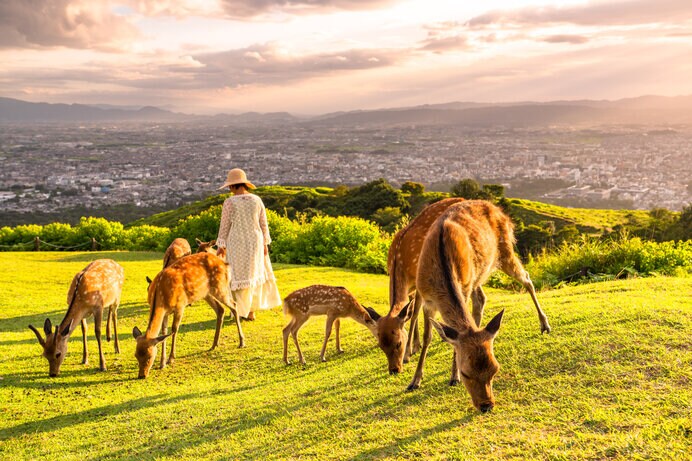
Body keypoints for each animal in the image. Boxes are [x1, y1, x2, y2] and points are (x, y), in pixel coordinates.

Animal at [362, 197, 464, 374]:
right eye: (381, 345)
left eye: (398, 343)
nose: (394, 370)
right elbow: (409, 313)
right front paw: (416, 345)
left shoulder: (419, 282)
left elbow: (414, 313)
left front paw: (409, 352)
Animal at [410, 199, 552, 412]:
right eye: (466, 373)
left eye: (495, 369)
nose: (486, 405)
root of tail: (498, 210)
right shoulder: (427, 301)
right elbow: (428, 338)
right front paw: (415, 381)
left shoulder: (464, 287)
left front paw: (452, 377)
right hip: (480, 273)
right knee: (482, 299)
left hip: (504, 252)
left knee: (526, 278)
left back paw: (545, 325)